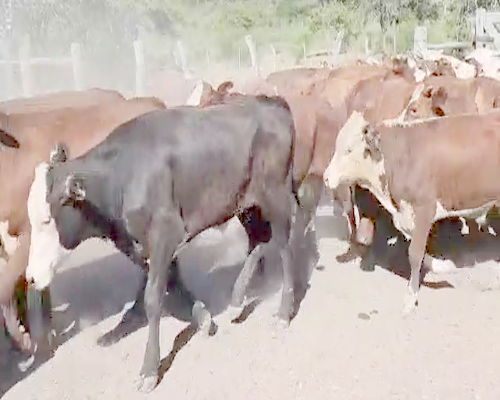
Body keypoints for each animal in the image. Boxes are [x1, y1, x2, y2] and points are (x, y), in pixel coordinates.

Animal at [324, 109, 500, 316]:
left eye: (349, 149)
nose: (326, 177)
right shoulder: (406, 214)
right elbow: (419, 252)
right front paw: (444, 267)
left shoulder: (424, 208)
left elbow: (414, 254)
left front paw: (410, 298)